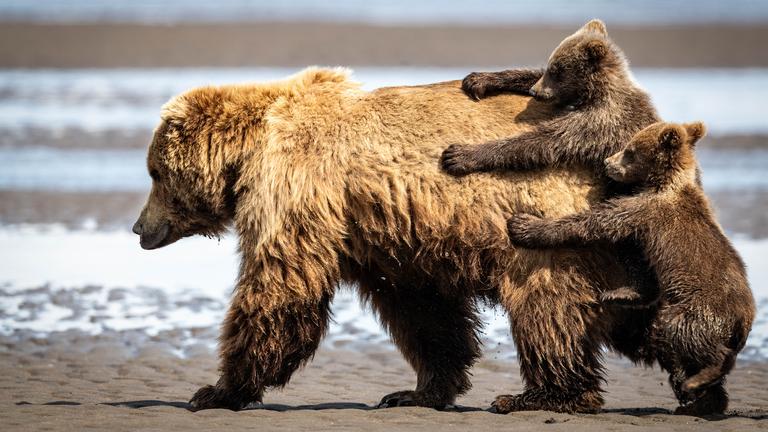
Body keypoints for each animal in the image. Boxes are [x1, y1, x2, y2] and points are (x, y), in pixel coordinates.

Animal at [132, 67, 660, 414]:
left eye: (154, 172)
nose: (139, 228)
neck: (249, 152)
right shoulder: (389, 238)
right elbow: (424, 312)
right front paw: (417, 390)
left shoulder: (297, 188)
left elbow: (279, 287)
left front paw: (217, 390)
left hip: (544, 217)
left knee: (546, 305)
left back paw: (543, 394)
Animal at [506, 121, 756, 416]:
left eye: (630, 151)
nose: (607, 162)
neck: (665, 183)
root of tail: (745, 319)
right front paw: (619, 294)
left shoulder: (643, 209)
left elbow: (593, 224)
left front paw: (524, 225)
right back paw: (700, 401)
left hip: (698, 311)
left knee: (681, 333)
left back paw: (701, 378)